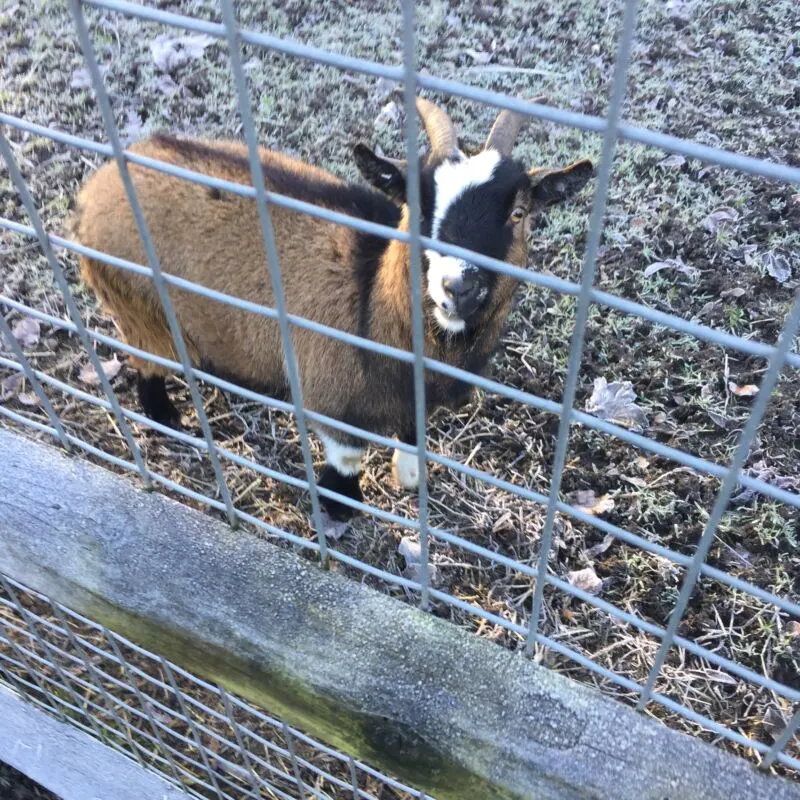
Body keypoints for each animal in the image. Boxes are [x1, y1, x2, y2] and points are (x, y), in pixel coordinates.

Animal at [72, 97, 592, 520]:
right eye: (418, 210)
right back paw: (166, 416)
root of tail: (96, 187)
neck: (372, 299)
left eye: (518, 214)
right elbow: (346, 457)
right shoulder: (329, 393)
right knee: (147, 363)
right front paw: (340, 505)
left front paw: (409, 478)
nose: (457, 286)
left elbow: (412, 435)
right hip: (138, 307)